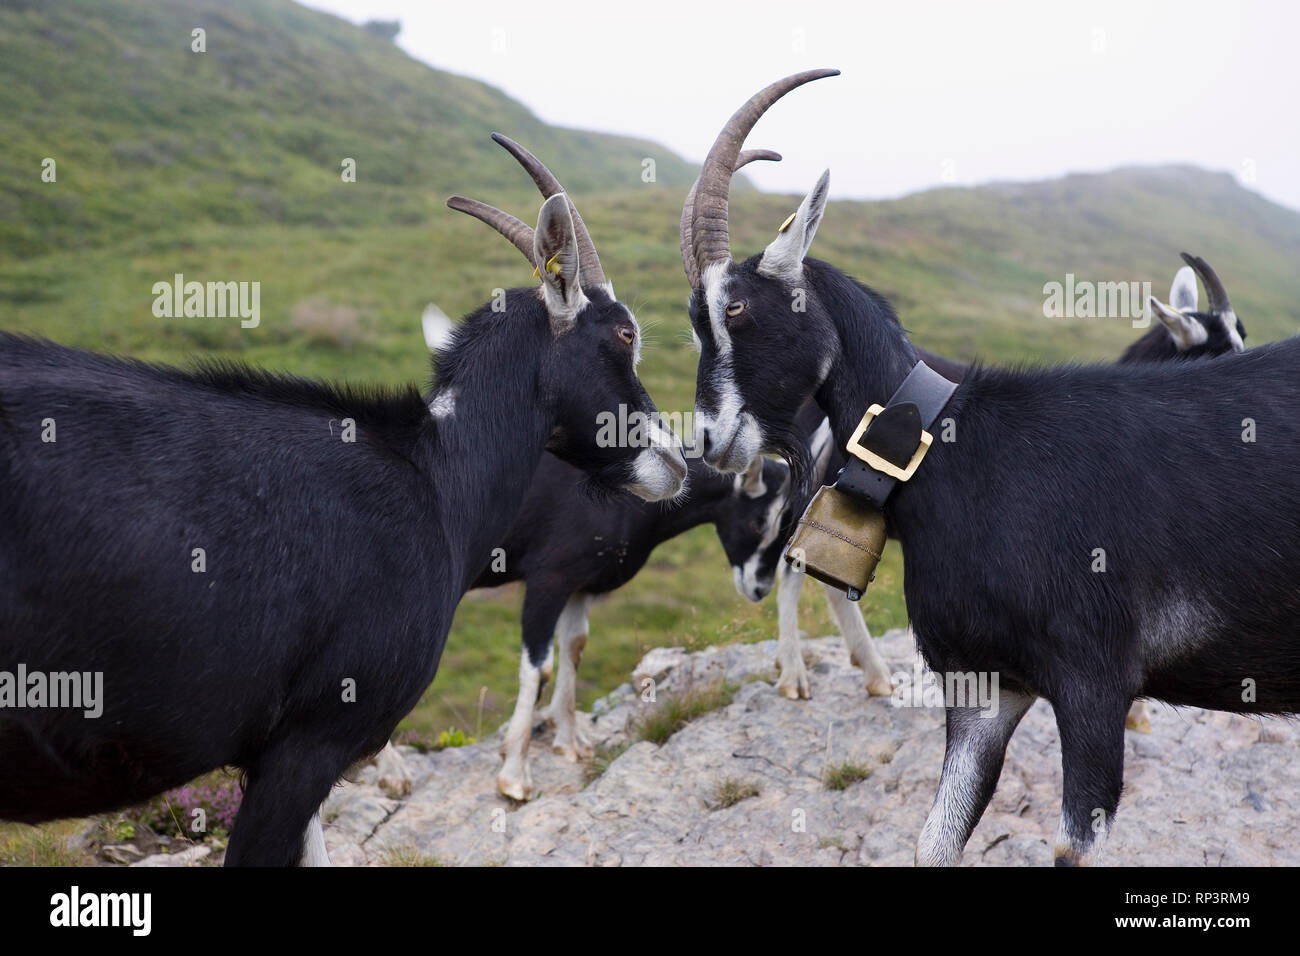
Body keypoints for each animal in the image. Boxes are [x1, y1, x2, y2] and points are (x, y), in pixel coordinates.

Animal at [676, 72, 1294, 868]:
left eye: (739, 308)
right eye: (697, 320)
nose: (709, 440)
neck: (949, 445)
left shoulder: (1090, 682)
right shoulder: (988, 686)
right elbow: (934, 842)